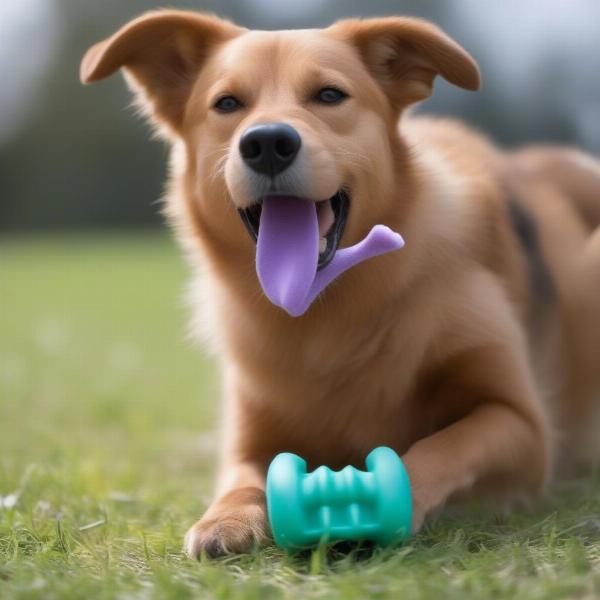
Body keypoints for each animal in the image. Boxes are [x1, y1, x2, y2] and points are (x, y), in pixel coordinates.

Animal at [79, 10, 600, 556]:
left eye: (329, 95)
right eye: (227, 104)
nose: (267, 143)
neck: (325, 311)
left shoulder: (523, 424)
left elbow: (442, 444)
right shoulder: (249, 438)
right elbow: (242, 478)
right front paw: (226, 518)